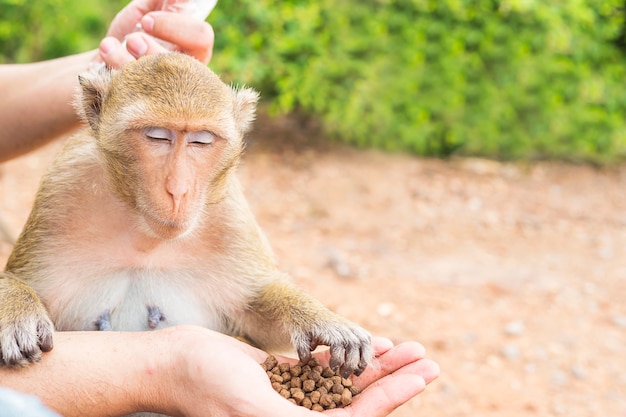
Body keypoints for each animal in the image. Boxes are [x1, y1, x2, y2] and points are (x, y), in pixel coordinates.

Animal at [0, 52, 370, 380]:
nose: (178, 191)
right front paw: (17, 312)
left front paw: (321, 322)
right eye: (157, 136)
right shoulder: (62, 188)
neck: (145, 235)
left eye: (201, 141)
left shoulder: (230, 216)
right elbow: (21, 280)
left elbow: (254, 311)